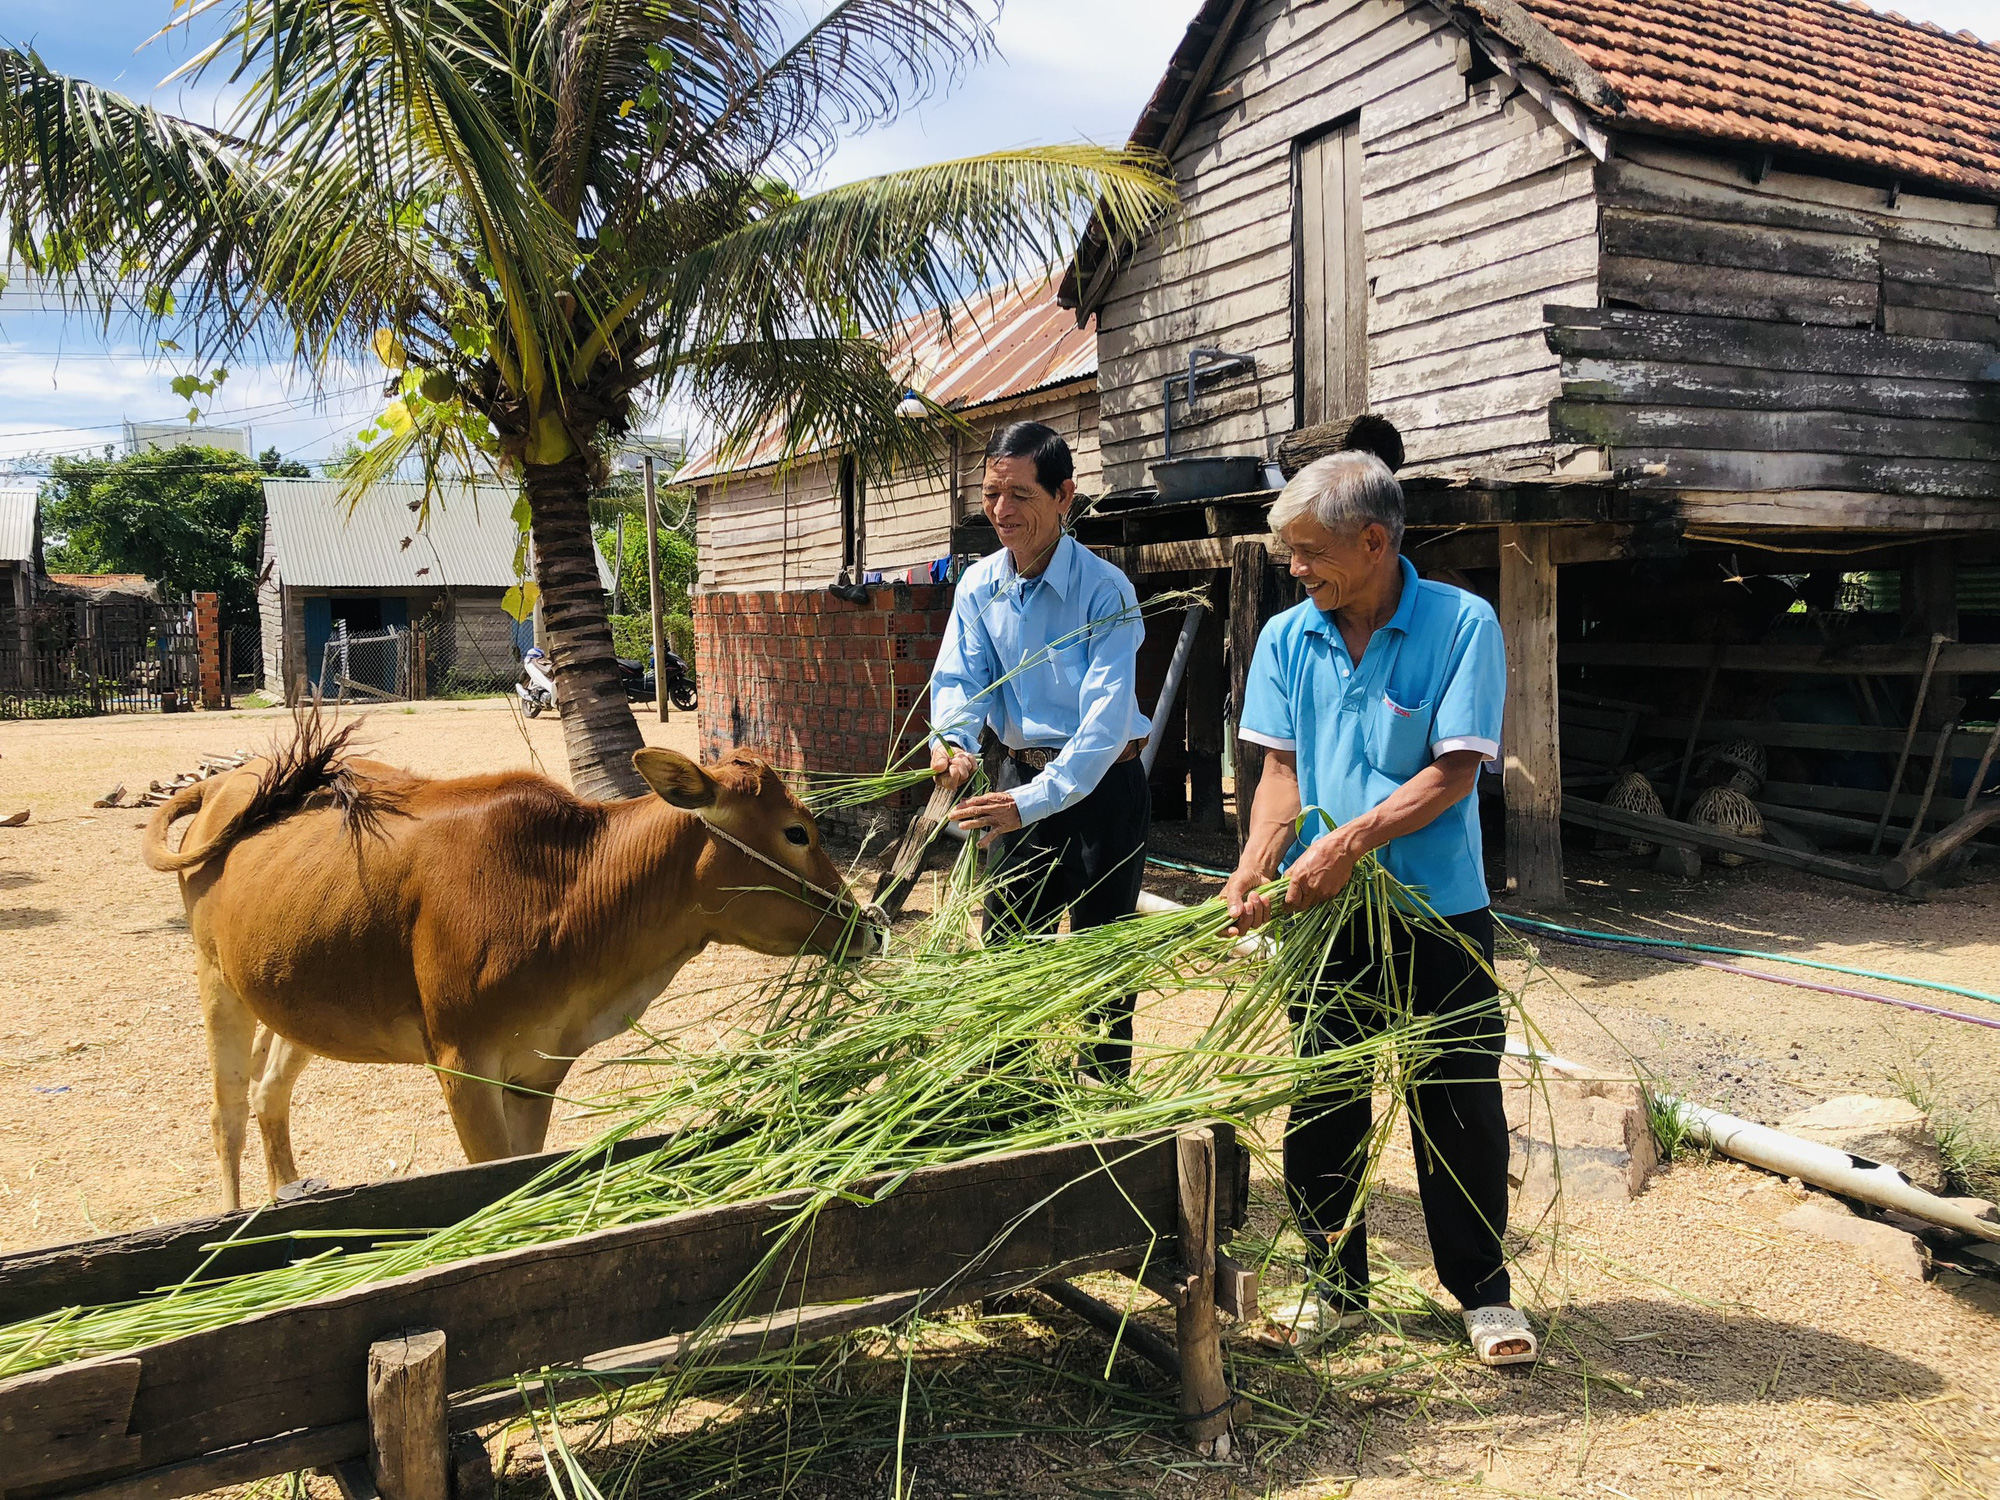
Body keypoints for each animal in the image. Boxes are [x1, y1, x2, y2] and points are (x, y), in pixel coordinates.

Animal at [145, 728, 888, 1208]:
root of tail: (225, 779)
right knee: (227, 1113)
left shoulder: (537, 1072)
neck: (568, 885)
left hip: (289, 995)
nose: (868, 926)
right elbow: (489, 1172)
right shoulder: (462, 1065)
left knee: (270, 1095)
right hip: (216, 984)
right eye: (797, 831)